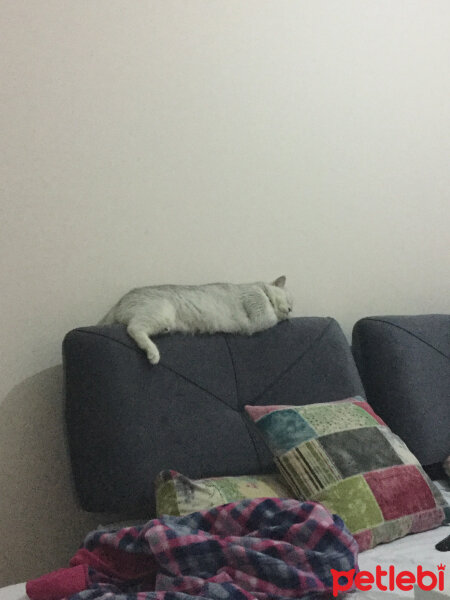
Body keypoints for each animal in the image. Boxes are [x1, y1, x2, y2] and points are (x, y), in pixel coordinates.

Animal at [100, 276, 294, 366]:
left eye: (292, 306)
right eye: (289, 300)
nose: (291, 310)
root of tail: (118, 303)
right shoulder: (258, 310)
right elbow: (270, 317)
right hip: (162, 313)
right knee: (133, 328)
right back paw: (153, 354)